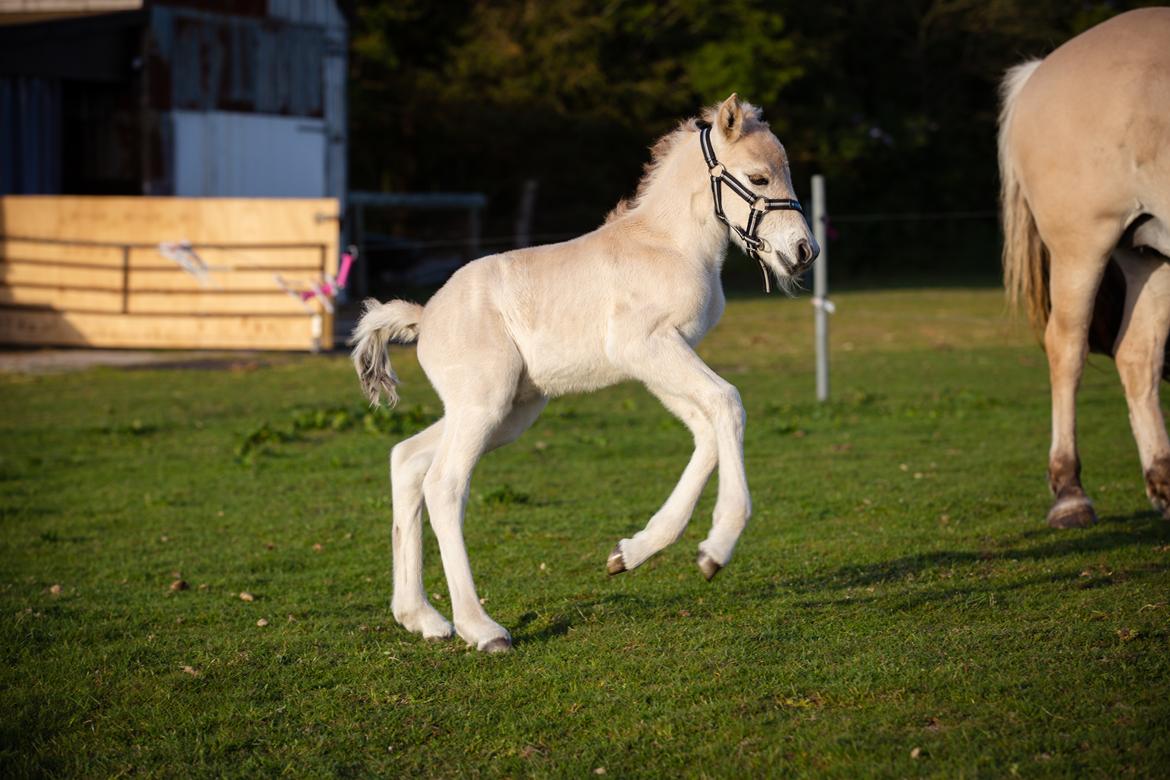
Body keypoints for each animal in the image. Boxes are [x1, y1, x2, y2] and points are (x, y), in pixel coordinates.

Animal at [351, 92, 819, 654]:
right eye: (759, 177)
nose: (804, 252)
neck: (668, 244)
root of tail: (426, 316)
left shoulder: (658, 359)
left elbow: (708, 430)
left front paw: (630, 553)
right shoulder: (647, 346)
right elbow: (728, 402)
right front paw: (717, 548)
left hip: (507, 411)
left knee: (407, 460)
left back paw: (421, 617)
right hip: (484, 405)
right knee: (444, 484)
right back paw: (481, 629)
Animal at [996, 6, 1170, 528]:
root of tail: (1042, 68)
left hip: (1149, 253)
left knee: (1138, 354)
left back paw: (1163, 480)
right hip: (1083, 245)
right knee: (1067, 347)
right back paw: (1070, 493)